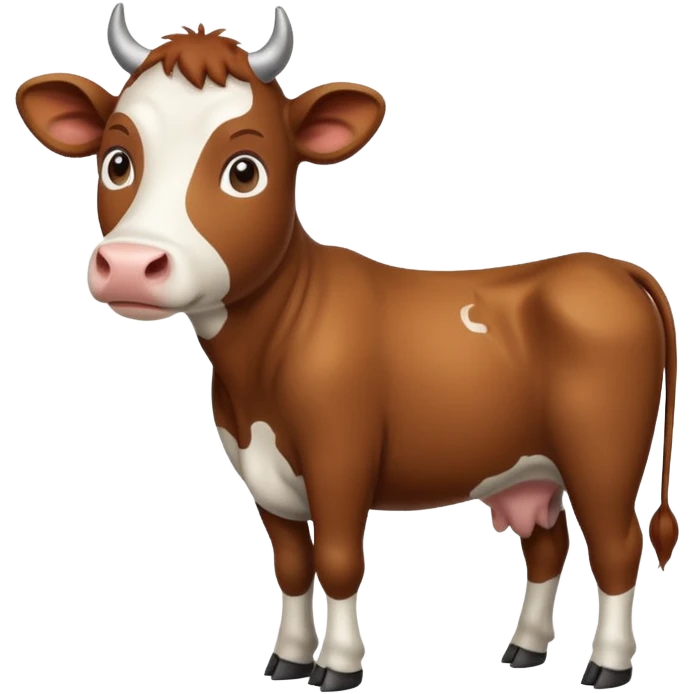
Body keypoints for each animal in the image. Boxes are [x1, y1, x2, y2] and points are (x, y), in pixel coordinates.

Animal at [15, 3, 679, 691]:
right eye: (117, 159)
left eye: (244, 171)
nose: (127, 264)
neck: (255, 371)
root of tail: (607, 267)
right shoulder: (260, 471)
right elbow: (291, 564)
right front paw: (287, 658)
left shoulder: (341, 456)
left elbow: (335, 560)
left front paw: (336, 665)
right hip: (531, 468)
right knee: (548, 545)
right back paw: (524, 648)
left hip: (602, 454)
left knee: (616, 545)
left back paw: (607, 664)